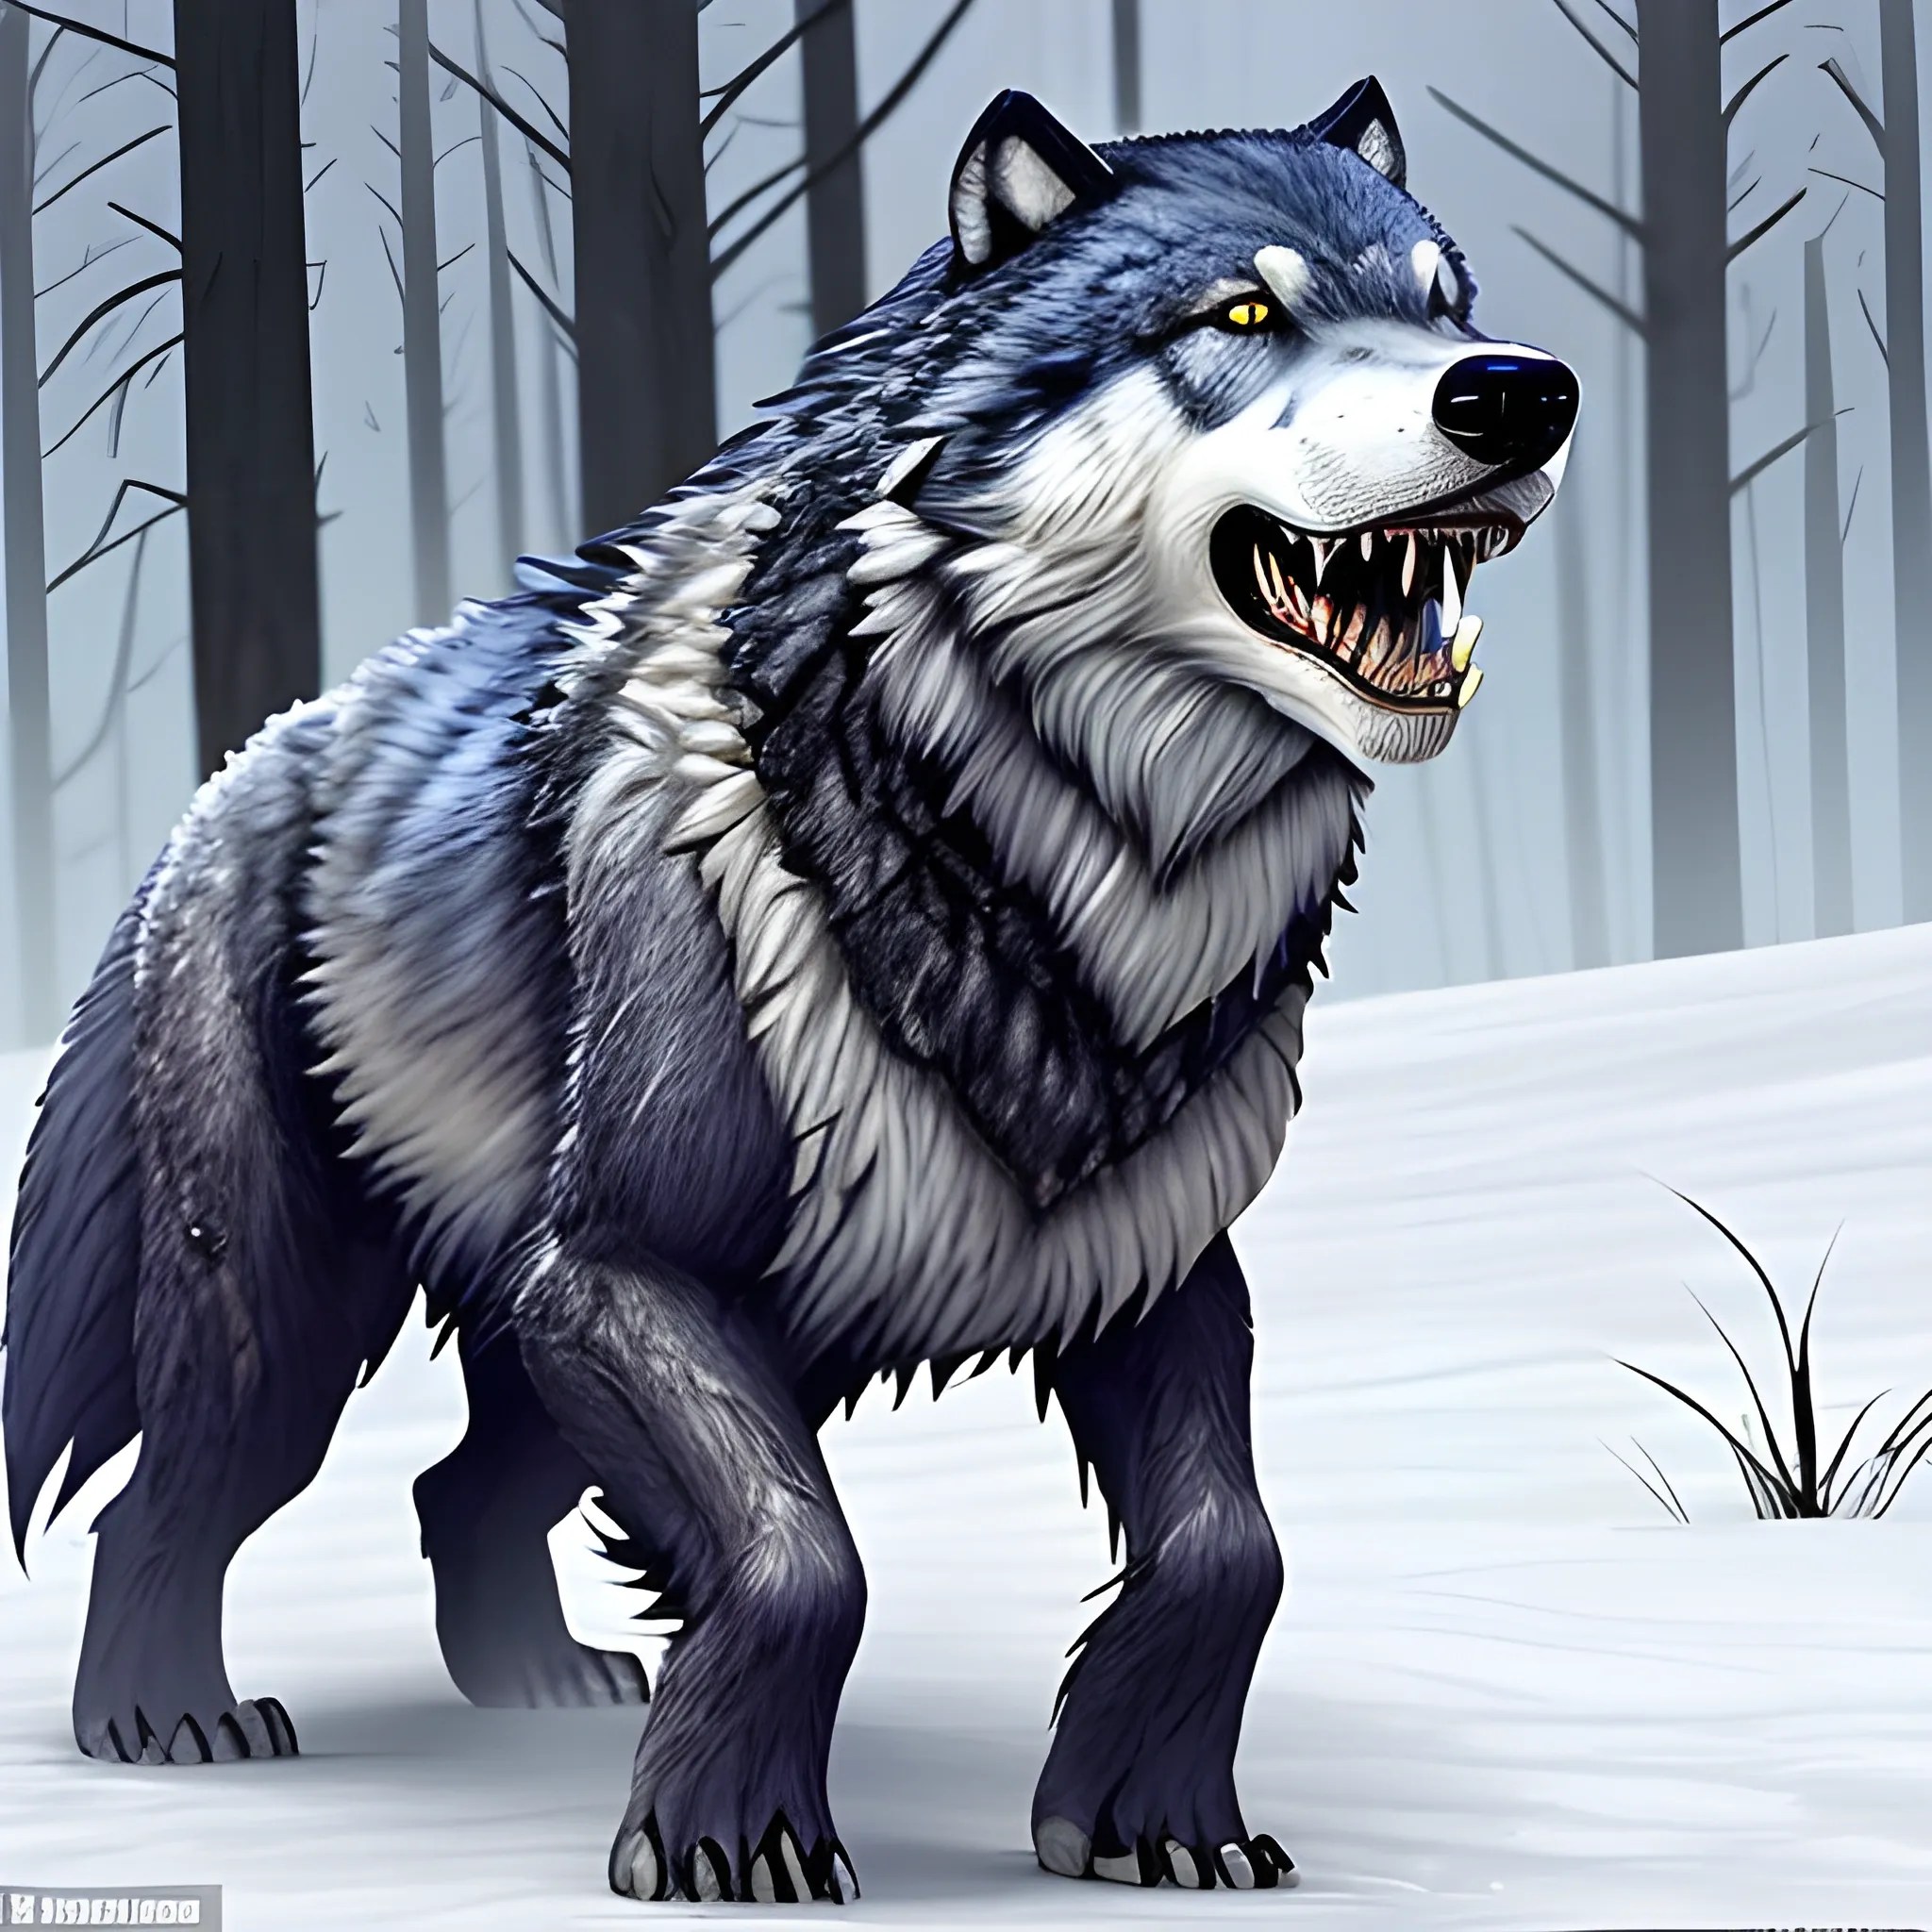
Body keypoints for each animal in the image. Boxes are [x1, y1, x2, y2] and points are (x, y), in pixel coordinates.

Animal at [3, 80, 1575, 1902]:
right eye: (1242, 318)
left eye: (1444, 308)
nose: (1522, 391)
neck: (1017, 874)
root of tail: (232, 779)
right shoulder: (623, 1269)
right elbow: (798, 1556)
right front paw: (723, 1836)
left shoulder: (1153, 1271)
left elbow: (1226, 1547)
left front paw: (1146, 1817)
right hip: (296, 1322)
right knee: (167, 1501)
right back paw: (165, 1721)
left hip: (533, 1327)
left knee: (455, 1490)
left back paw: (535, 1684)